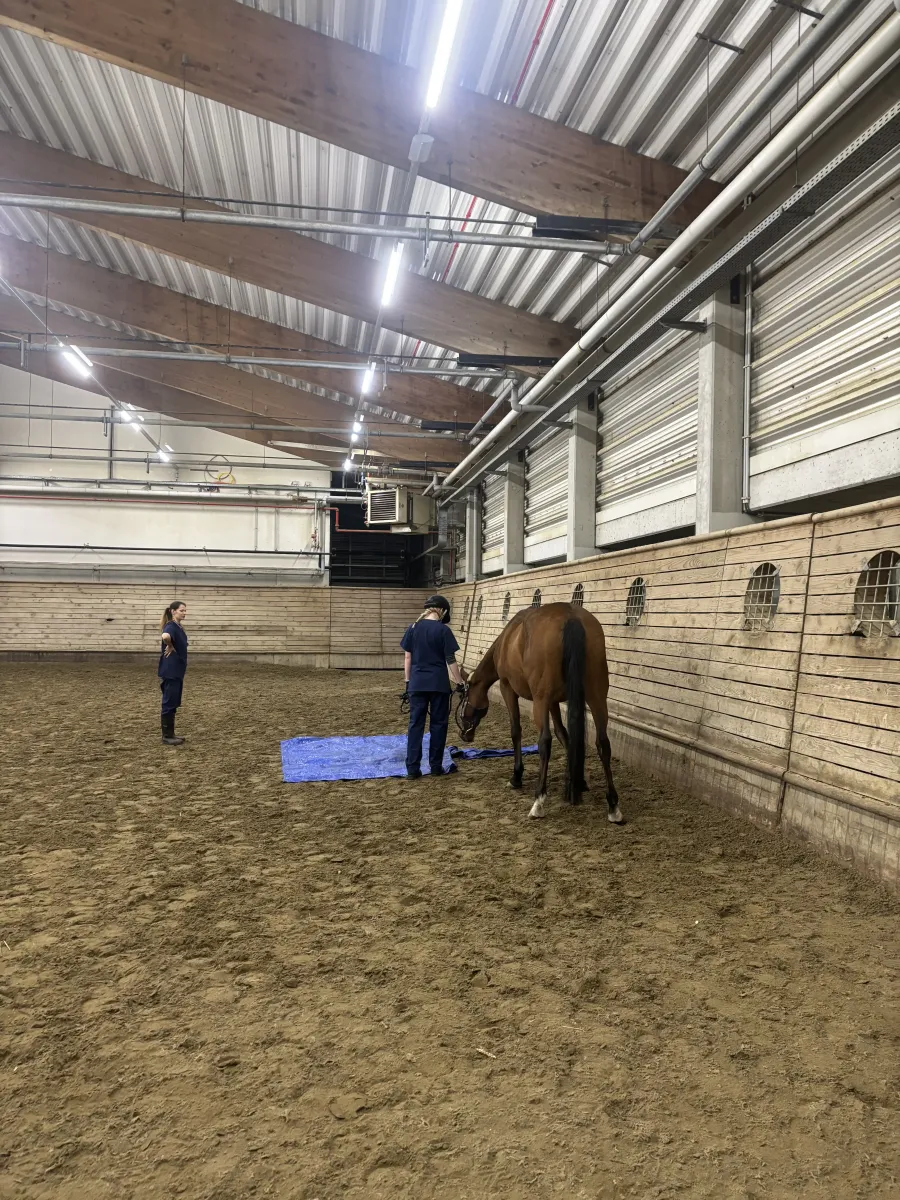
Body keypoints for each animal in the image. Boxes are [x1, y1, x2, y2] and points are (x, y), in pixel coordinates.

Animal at [456, 602, 623, 823]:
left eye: (463, 698)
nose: (464, 734)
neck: (508, 640)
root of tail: (571, 616)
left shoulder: (509, 689)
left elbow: (516, 731)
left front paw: (516, 777)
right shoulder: (554, 702)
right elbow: (565, 736)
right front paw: (576, 781)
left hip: (541, 700)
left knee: (545, 741)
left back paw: (539, 800)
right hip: (596, 697)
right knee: (603, 743)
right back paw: (613, 805)